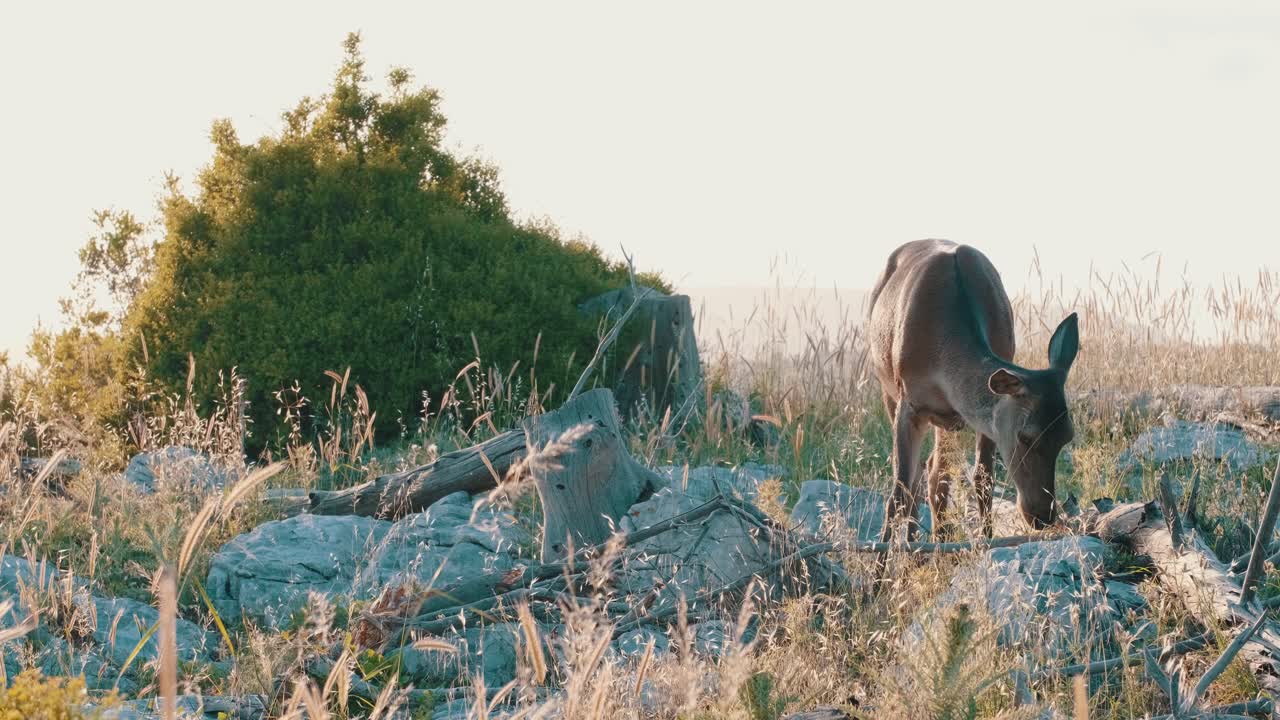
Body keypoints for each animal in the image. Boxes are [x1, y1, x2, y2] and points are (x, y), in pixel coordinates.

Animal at [867, 239, 1078, 544]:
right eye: (1025, 436)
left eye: (1067, 436)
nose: (1042, 517)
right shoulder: (909, 402)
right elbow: (898, 489)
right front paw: (884, 554)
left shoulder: (987, 416)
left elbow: (982, 478)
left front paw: (987, 538)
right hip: (888, 390)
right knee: (915, 478)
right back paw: (912, 539)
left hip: (945, 419)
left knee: (935, 471)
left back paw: (936, 536)